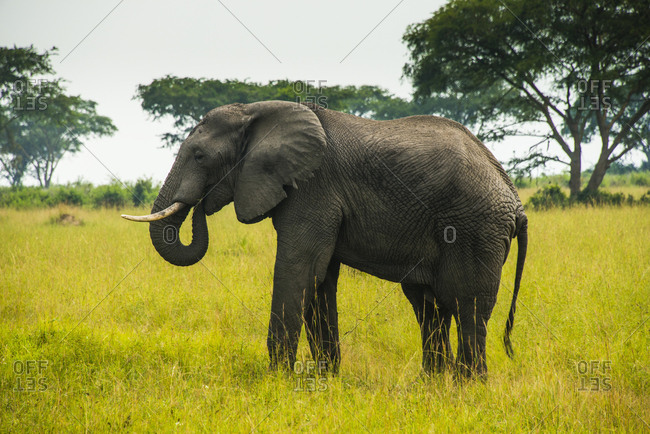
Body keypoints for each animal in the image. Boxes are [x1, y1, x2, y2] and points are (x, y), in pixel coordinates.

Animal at [122, 100, 528, 377]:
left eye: (200, 156)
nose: (202, 204)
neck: (256, 111)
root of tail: (515, 199)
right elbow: (321, 279)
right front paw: (325, 379)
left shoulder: (313, 188)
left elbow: (300, 270)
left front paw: (278, 381)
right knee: (429, 306)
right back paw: (432, 384)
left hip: (475, 229)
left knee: (466, 305)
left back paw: (466, 387)